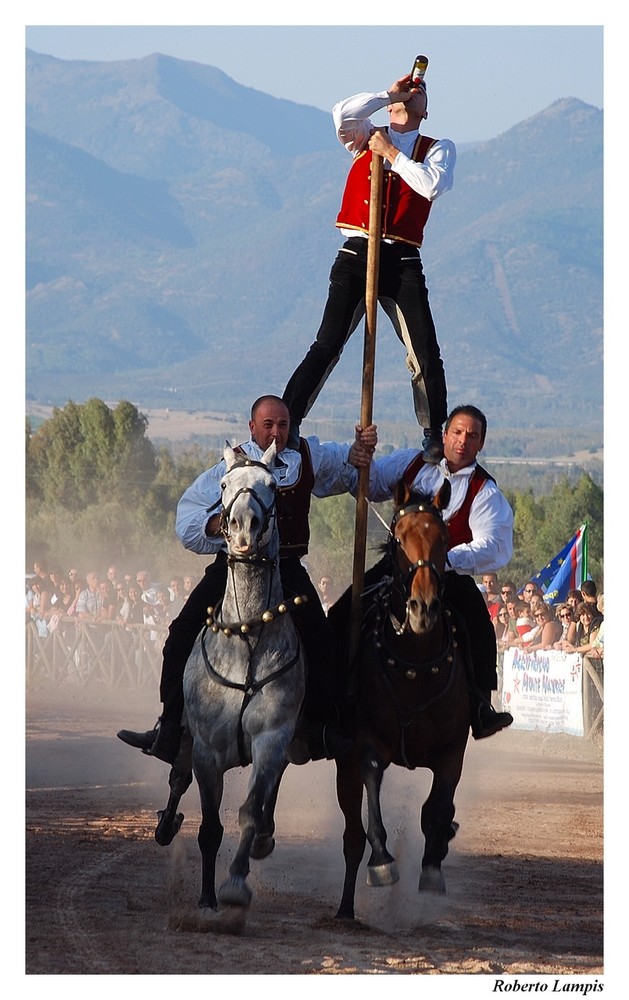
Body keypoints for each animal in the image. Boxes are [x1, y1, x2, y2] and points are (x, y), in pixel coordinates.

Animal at [156, 442, 306, 912]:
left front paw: (236, 883)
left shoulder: (271, 740)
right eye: (223, 485)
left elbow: (250, 813)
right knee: (177, 775)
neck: (249, 638)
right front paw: (207, 901)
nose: (242, 529)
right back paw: (165, 825)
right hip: (186, 736)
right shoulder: (207, 749)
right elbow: (209, 829)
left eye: (273, 484)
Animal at [334, 476, 472, 920]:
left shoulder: (452, 753)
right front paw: (382, 863)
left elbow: (437, 808)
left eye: (443, 539)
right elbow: (373, 795)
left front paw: (432, 867)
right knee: (351, 832)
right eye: (398, 538)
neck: (416, 664)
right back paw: (345, 907)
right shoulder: (365, 745)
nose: (422, 608)